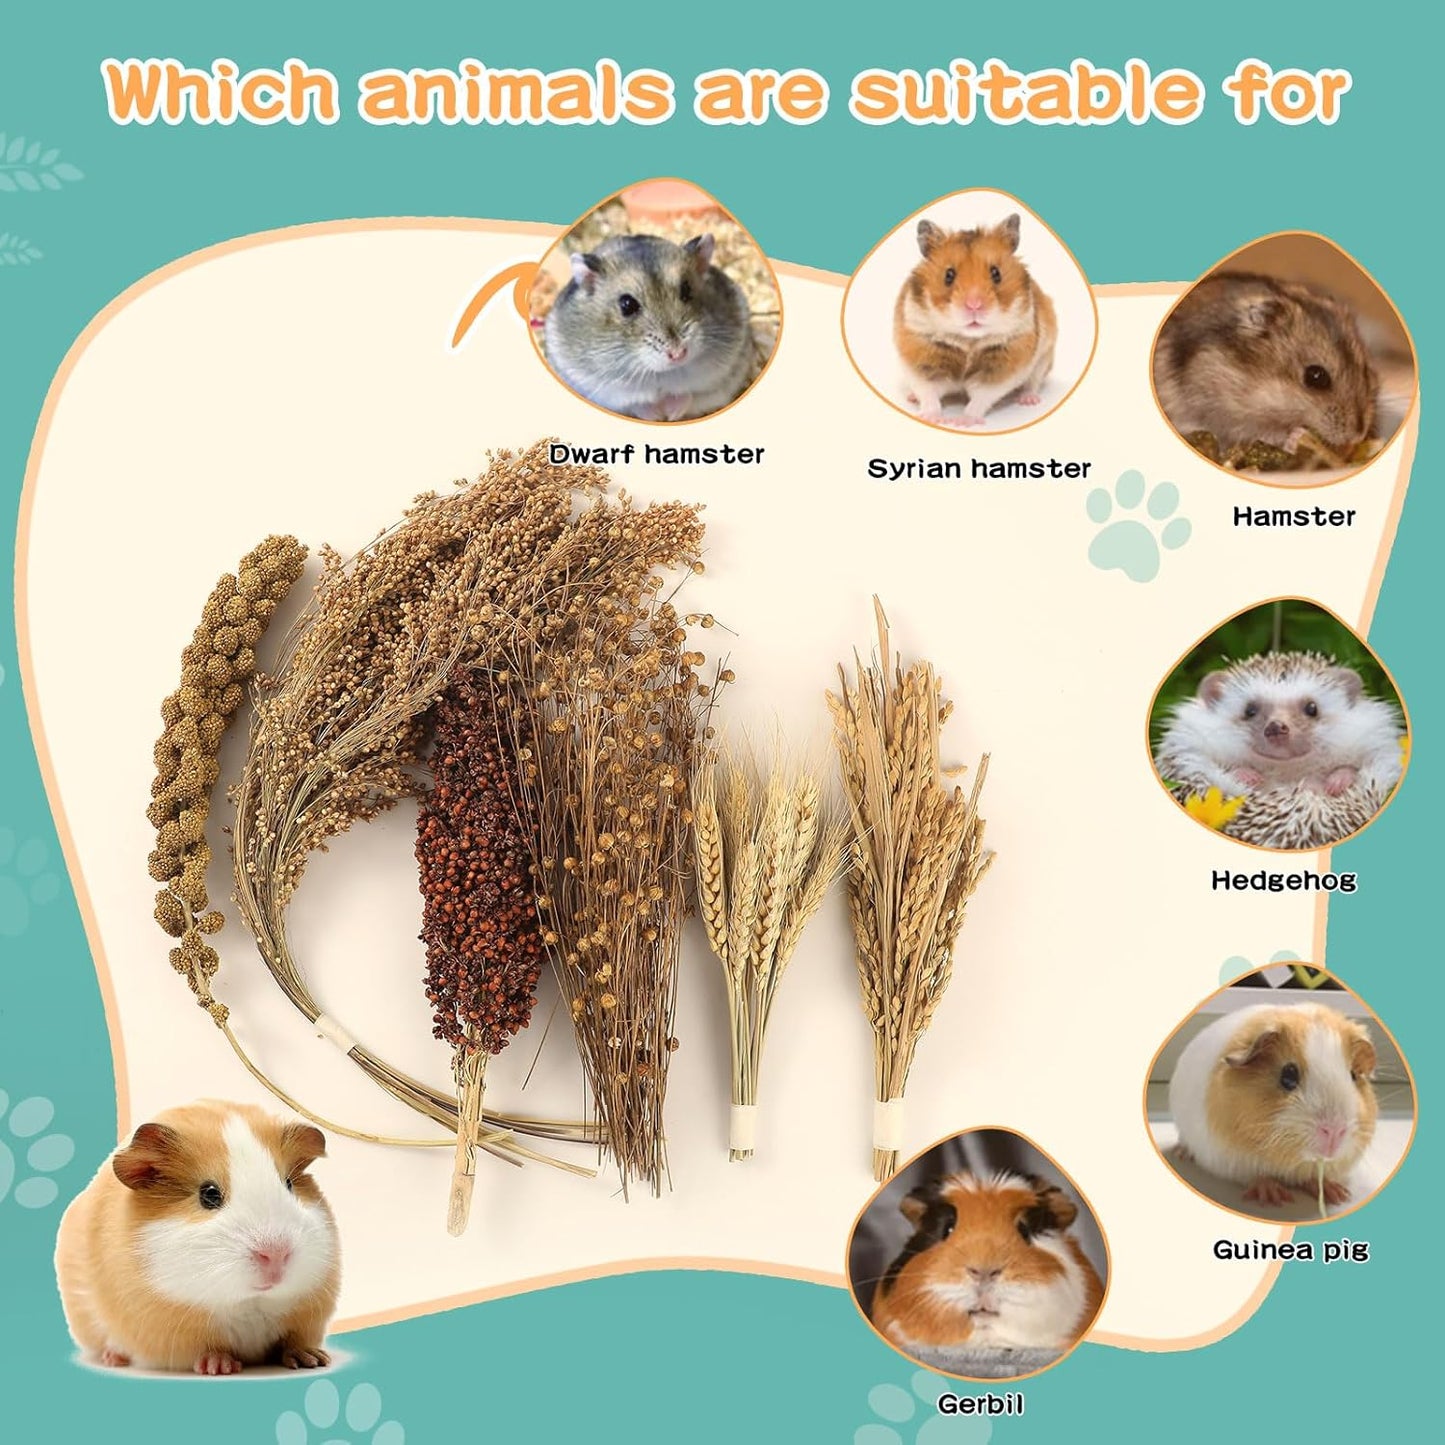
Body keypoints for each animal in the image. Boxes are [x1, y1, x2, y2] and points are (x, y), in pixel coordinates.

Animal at [54, 1100, 340, 1375]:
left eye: (289, 1184)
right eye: (209, 1194)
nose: (276, 1254)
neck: (249, 1303)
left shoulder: (305, 1317)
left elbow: (293, 1341)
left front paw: (313, 1360)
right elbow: (207, 1349)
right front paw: (220, 1367)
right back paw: (113, 1358)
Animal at [542, 232, 755, 422]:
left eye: (686, 290)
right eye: (627, 304)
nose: (678, 354)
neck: (661, 373)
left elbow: (690, 394)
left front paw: (671, 413)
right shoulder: (604, 389)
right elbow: (637, 403)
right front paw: (657, 414)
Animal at [893, 214, 1058, 428]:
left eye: (996, 273)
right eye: (948, 275)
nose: (974, 305)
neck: (968, 340)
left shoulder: (1004, 363)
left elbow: (980, 398)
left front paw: (962, 422)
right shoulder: (919, 352)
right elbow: (928, 392)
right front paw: (932, 418)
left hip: (1044, 357)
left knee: (1033, 383)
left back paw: (1028, 399)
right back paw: (912, 397)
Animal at [1154, 652, 1404, 802]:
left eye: (1312, 708)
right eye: (1249, 710)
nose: (1276, 727)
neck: (1287, 772)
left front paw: (1338, 780)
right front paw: (1246, 775)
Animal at [1169, 1003, 1378, 1208]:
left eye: (1352, 1075)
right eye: (1288, 1075)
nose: (1335, 1132)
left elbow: (1313, 1178)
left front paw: (1337, 1194)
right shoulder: (1235, 1160)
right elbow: (1258, 1176)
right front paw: (1275, 1197)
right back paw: (1181, 1154)